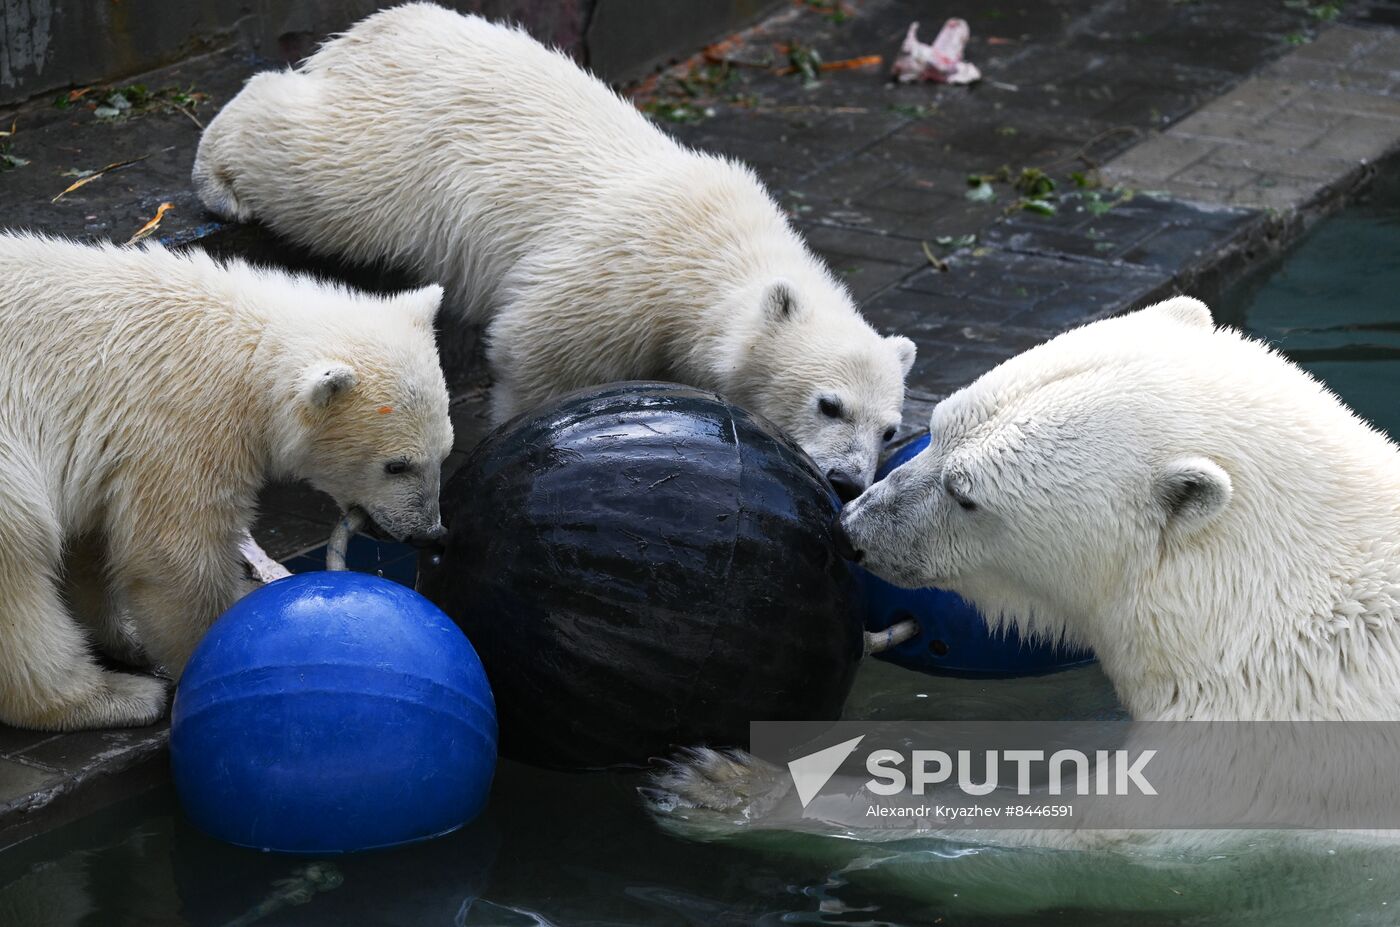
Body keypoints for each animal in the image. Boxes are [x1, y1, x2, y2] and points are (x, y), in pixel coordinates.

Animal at [0, 233, 448, 733]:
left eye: (445, 452)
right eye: (397, 466)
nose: (429, 532)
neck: (251, 346)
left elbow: (95, 537)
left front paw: (128, 635)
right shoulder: (180, 422)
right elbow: (175, 556)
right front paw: (206, 653)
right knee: (21, 550)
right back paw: (109, 698)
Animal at [197, 3, 918, 504]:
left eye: (889, 430)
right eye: (829, 404)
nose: (848, 480)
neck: (717, 256)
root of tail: (378, 30)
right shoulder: (622, 279)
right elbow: (539, 350)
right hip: (398, 150)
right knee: (322, 173)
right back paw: (218, 177)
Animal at [649, 299, 1400, 851]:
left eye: (965, 494)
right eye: (935, 429)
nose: (853, 528)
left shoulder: (1266, 750)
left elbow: (1069, 828)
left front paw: (734, 787)